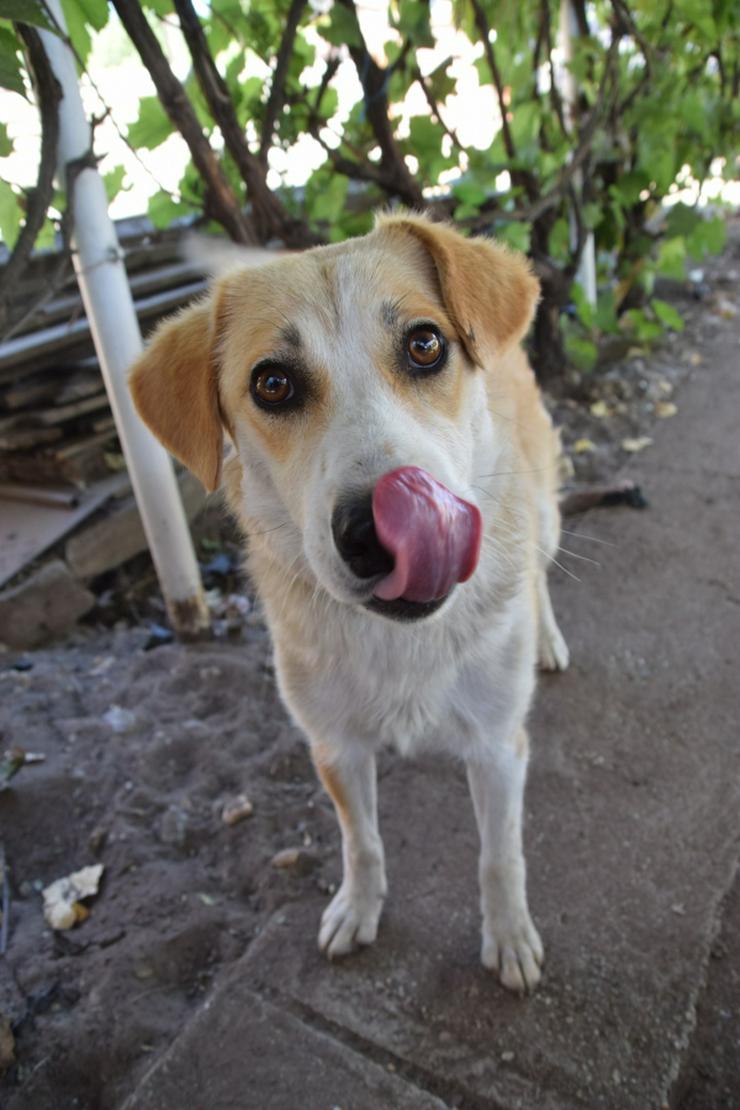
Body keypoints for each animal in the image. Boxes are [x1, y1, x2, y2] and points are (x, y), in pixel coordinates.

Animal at [130, 212, 572, 994]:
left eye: (425, 344)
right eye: (272, 383)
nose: (376, 535)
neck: (400, 640)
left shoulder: (497, 745)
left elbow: (499, 856)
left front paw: (510, 937)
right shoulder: (334, 746)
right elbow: (360, 840)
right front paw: (358, 910)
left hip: (544, 515)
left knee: (540, 572)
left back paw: (546, 637)